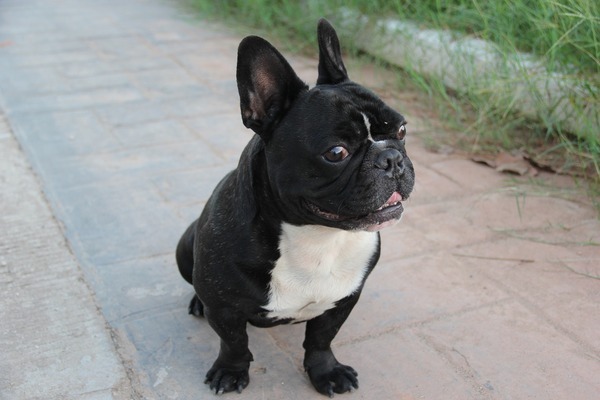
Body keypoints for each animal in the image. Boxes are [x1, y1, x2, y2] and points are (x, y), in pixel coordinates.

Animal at [176, 19, 414, 396]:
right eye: (336, 152)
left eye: (402, 130)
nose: (391, 157)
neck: (317, 237)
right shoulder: (224, 310)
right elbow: (234, 342)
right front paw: (230, 370)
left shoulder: (343, 300)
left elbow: (320, 340)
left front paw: (326, 371)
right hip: (185, 246)